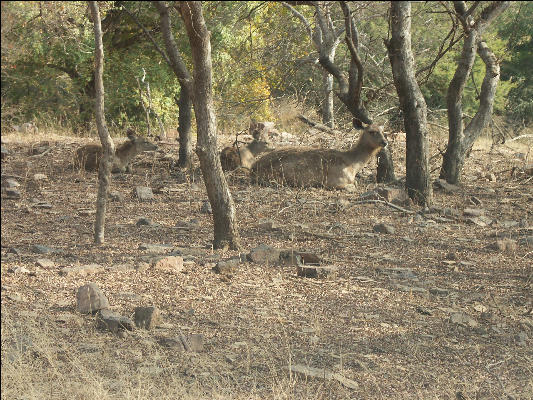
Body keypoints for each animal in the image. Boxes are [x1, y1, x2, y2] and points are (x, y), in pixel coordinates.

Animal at [249, 122, 386, 190]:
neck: (352, 164)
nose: (385, 142)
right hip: (277, 177)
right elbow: (352, 186)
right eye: (371, 132)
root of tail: (252, 169)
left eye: (383, 131)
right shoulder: (334, 181)